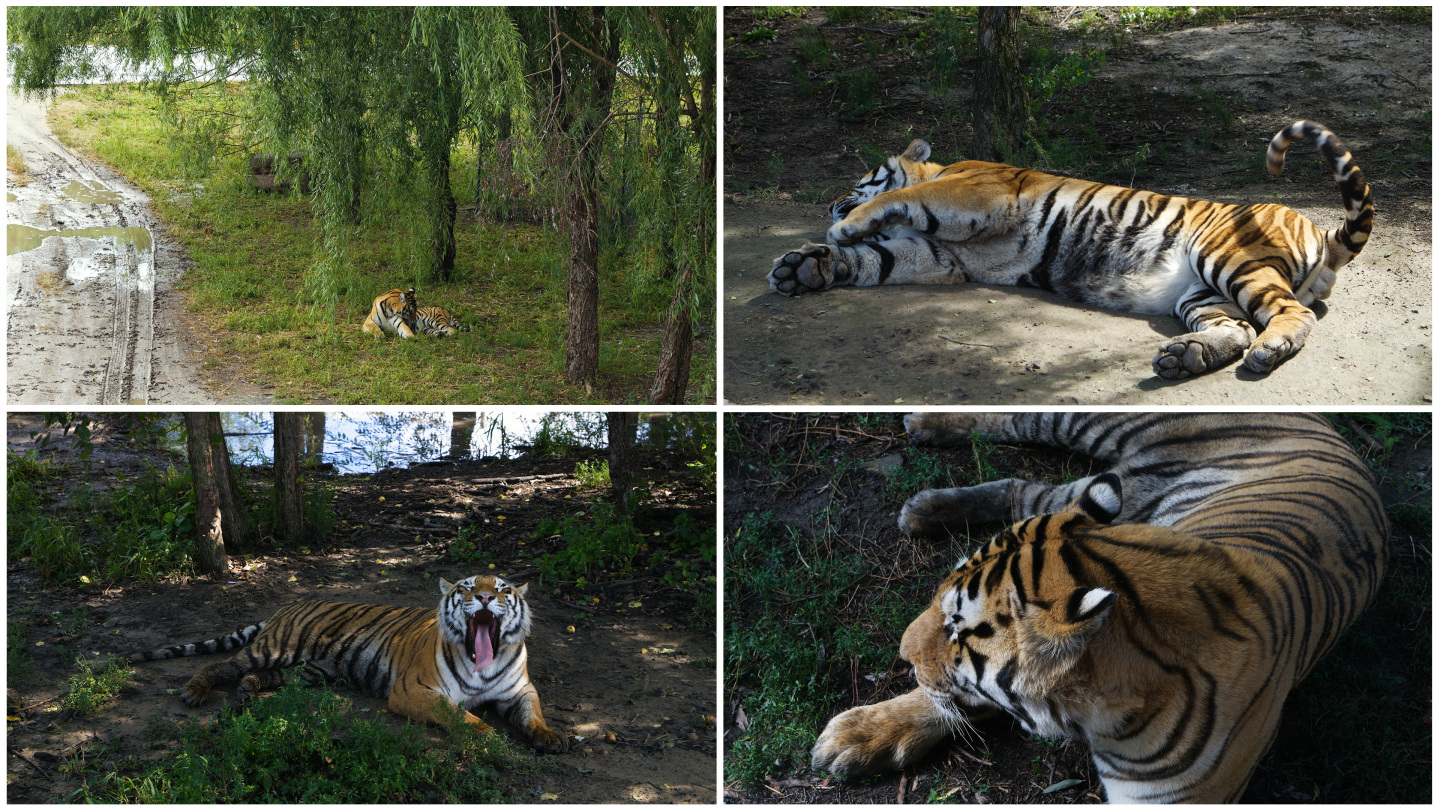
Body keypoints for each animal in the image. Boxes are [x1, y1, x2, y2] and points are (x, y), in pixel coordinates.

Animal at [128, 573, 567, 749]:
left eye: (505, 589)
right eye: (468, 587)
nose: (486, 597)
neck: (483, 663)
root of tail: (289, 605)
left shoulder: (519, 692)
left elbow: (534, 716)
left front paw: (553, 737)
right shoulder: (414, 692)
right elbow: (460, 715)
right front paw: (487, 734)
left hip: (308, 671)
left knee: (261, 677)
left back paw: (247, 694)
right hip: (276, 647)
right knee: (221, 665)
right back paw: (194, 692)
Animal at [771, 121, 1376, 380]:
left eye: (858, 178)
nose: (830, 204)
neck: (944, 167)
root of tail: (1320, 232)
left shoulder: (975, 192)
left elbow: (897, 196)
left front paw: (845, 228)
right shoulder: (939, 256)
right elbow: (876, 259)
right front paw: (801, 269)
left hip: (1229, 258)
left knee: (1289, 316)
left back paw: (1268, 351)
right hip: (1202, 292)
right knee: (1237, 327)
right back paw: (1185, 356)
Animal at [812, 415, 1382, 801]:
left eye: (957, 627)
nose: (901, 653)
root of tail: (1325, 423)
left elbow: (958, 692)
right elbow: (949, 697)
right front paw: (857, 735)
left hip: (1088, 489)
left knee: (1023, 488)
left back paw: (922, 505)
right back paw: (925, 451)